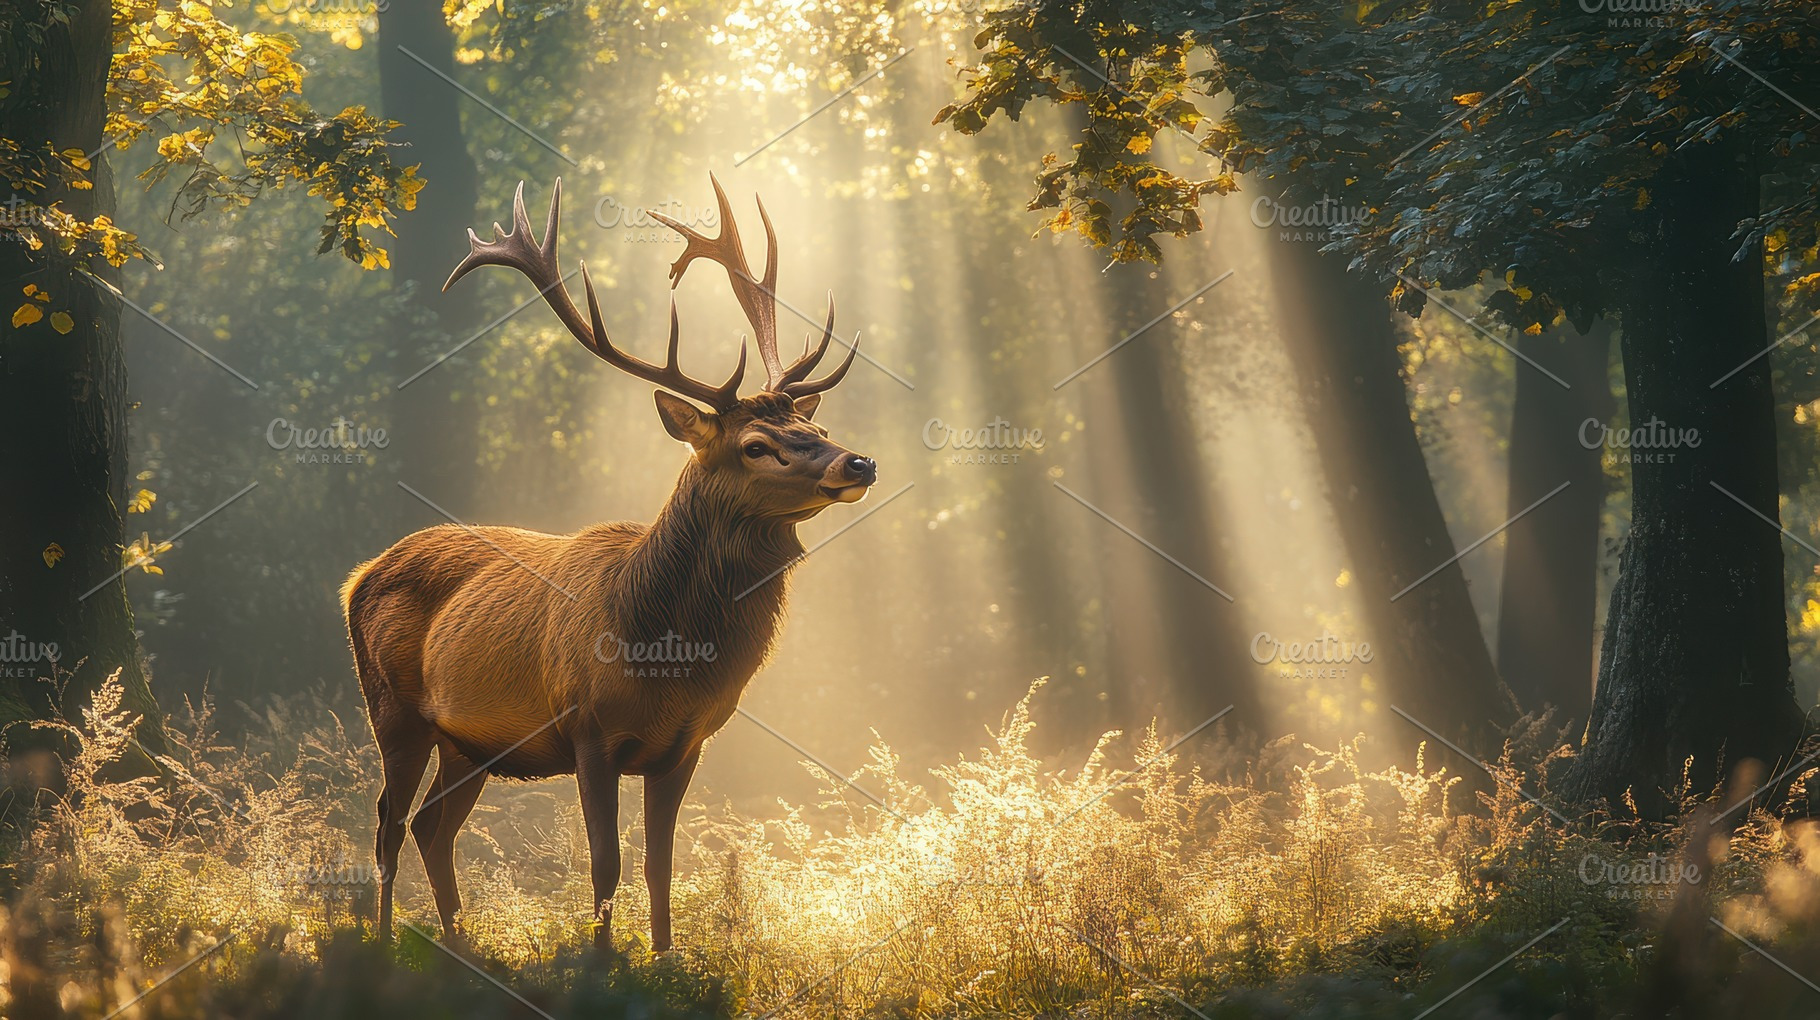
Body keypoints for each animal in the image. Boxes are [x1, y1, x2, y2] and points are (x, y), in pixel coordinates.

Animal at [342, 175, 875, 953]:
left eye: (817, 425)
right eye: (755, 444)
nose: (858, 462)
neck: (665, 656)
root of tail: (356, 577)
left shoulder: (686, 743)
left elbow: (661, 863)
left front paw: (664, 957)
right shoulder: (587, 727)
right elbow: (605, 860)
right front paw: (599, 961)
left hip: (467, 743)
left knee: (432, 827)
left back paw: (459, 944)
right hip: (394, 711)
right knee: (386, 822)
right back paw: (383, 944)